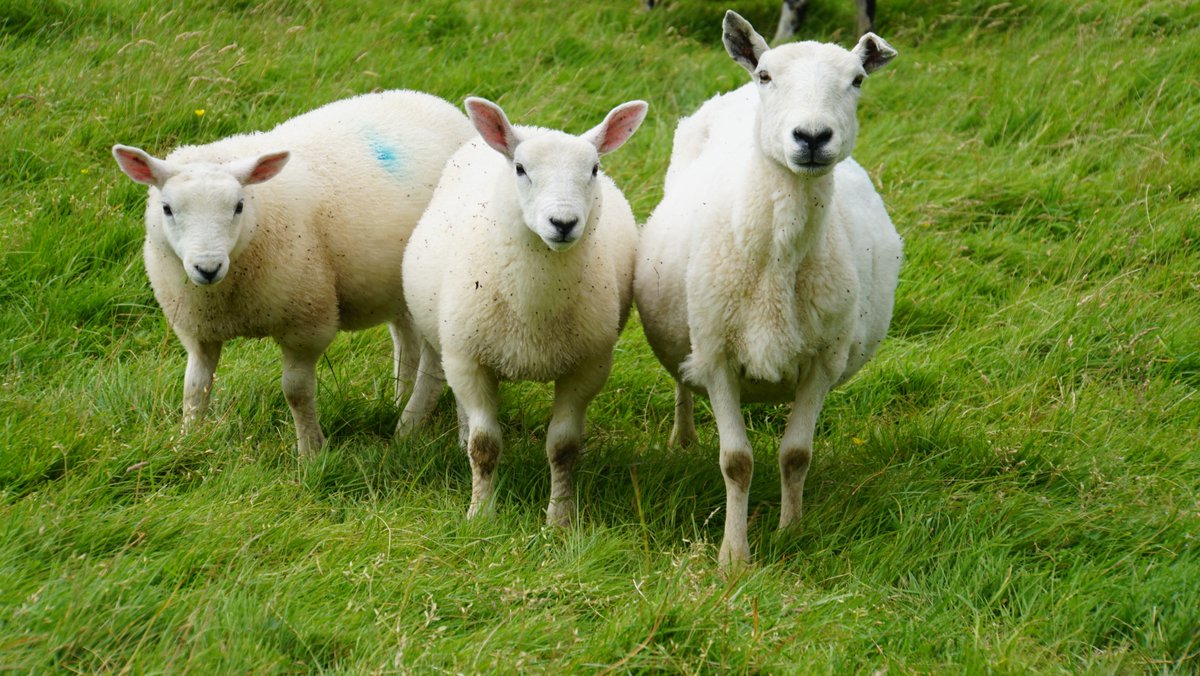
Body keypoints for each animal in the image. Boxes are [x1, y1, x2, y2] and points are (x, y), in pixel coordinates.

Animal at [112, 90, 474, 458]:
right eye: (167, 208)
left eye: (239, 206)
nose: (207, 268)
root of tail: (428, 98)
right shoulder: (198, 330)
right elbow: (195, 388)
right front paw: (187, 441)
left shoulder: (307, 324)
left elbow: (296, 392)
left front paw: (311, 452)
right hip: (398, 287)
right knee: (407, 338)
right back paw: (400, 400)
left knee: (436, 366)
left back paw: (413, 430)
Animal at [398, 97, 647, 526]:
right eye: (521, 169)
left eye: (594, 169)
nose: (563, 223)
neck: (534, 310)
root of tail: (532, 126)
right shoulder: (469, 358)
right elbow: (484, 445)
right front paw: (480, 515)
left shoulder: (587, 367)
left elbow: (563, 447)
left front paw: (559, 520)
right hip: (446, 338)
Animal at [633, 11, 901, 566]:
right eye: (768, 76)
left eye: (857, 81)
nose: (812, 136)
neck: (779, 260)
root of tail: (734, 94)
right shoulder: (716, 355)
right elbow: (736, 461)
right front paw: (733, 558)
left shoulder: (823, 360)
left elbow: (795, 455)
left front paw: (791, 533)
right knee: (681, 381)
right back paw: (682, 438)